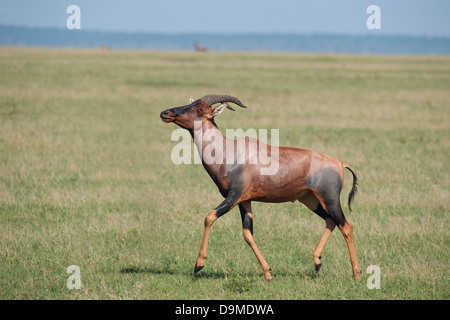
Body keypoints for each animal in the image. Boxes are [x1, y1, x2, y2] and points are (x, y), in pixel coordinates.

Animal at [160, 94, 360, 280]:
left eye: (200, 108)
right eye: (192, 103)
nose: (165, 113)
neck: (228, 151)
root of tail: (339, 163)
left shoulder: (233, 197)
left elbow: (209, 218)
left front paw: (198, 265)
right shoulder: (244, 200)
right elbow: (248, 234)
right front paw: (268, 273)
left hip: (330, 199)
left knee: (346, 226)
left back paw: (356, 274)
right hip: (310, 200)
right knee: (331, 221)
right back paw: (317, 262)